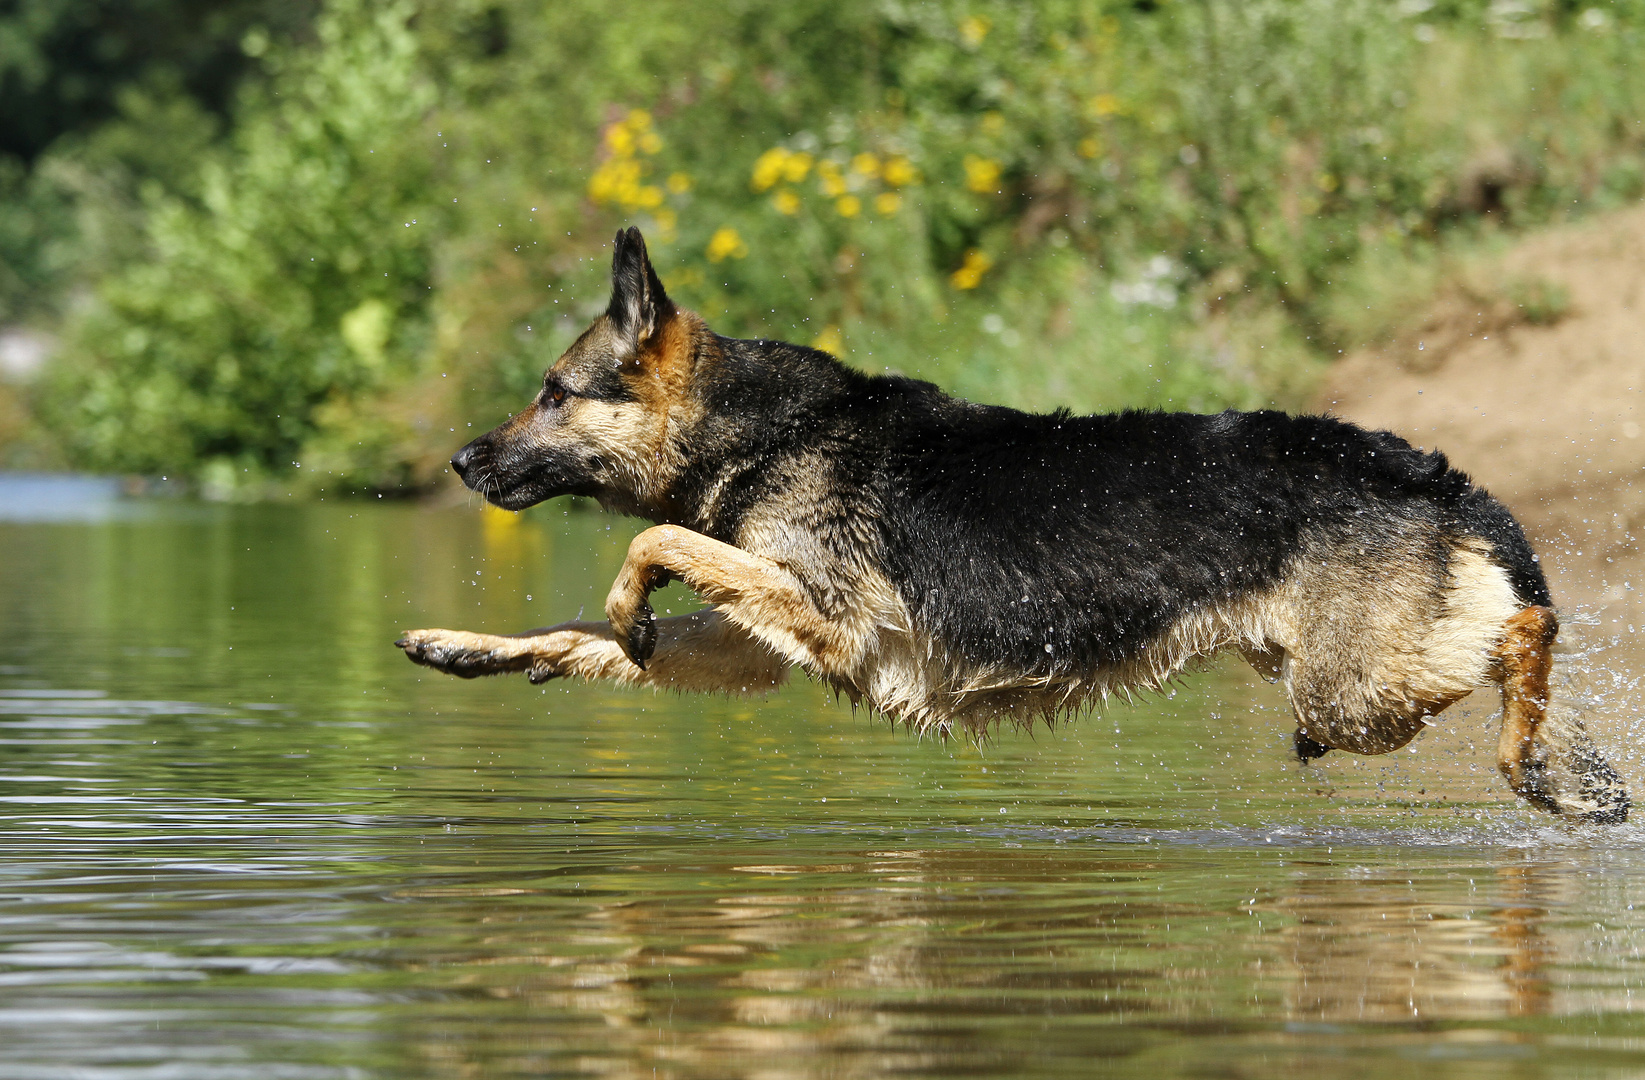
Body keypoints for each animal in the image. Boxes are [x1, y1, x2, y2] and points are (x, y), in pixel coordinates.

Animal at [398, 225, 1631, 818]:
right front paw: (471, 647)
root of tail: (1431, 471)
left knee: (1522, 639)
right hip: (1349, 680)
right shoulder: (763, 650)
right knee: (1514, 663)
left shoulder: (826, 619)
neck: (755, 428)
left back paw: (1540, 754)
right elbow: (579, 632)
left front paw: (625, 599)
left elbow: (652, 542)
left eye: (553, 393)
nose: (459, 461)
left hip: (1349, 693)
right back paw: (1564, 768)